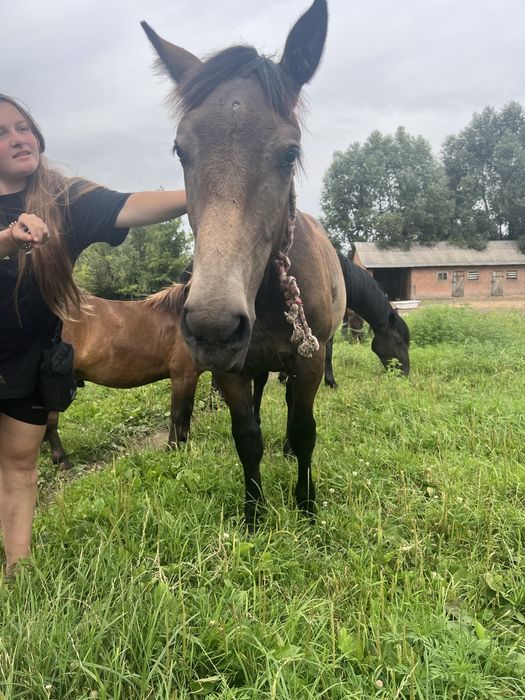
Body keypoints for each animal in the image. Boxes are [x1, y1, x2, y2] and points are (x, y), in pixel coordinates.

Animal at [43, 287, 200, 469]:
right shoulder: (182, 375)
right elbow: (177, 413)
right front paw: (172, 448)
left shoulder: (191, 376)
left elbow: (188, 409)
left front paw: (184, 440)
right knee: (51, 423)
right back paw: (63, 461)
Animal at [142, 0, 346, 526]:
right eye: (181, 150)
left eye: (290, 152)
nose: (213, 324)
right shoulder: (229, 371)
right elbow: (246, 438)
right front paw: (255, 515)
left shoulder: (310, 361)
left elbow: (304, 431)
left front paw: (306, 507)